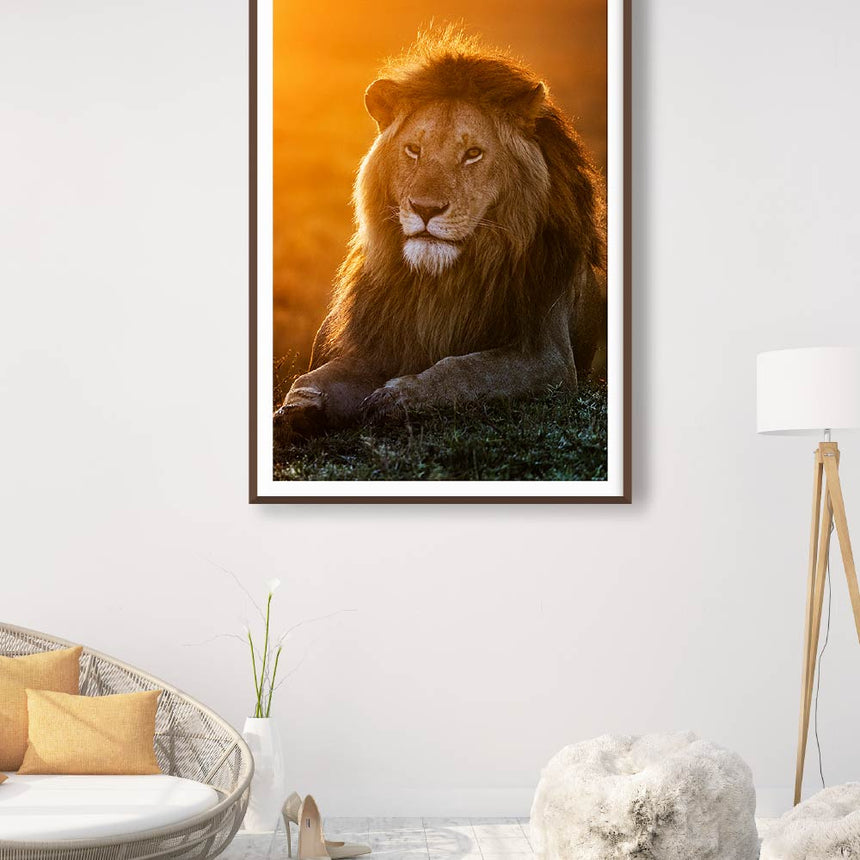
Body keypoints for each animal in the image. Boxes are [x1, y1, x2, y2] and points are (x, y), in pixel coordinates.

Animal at [274, 30, 606, 437]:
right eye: (413, 149)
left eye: (473, 153)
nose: (425, 209)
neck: (441, 281)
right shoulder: (375, 344)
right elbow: (314, 378)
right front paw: (297, 410)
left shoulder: (549, 358)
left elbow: (466, 369)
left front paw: (399, 397)